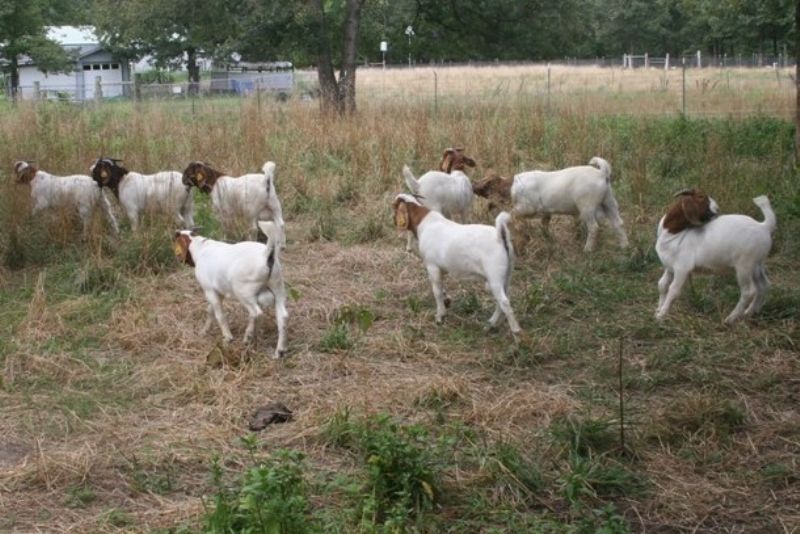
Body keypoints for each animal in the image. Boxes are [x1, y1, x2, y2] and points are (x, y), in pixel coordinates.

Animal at [174, 221, 288, 358]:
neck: (201, 247)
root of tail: (265, 255)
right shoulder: (218, 292)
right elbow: (210, 311)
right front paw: (204, 331)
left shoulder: (209, 290)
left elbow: (219, 315)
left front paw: (227, 338)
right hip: (278, 288)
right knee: (282, 316)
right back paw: (279, 351)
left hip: (243, 292)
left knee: (256, 313)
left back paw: (249, 336)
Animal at [392, 193, 521, 339]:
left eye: (394, 206)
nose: (393, 221)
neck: (425, 222)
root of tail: (501, 236)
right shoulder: (440, 268)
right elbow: (441, 288)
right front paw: (446, 300)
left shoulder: (432, 266)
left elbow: (436, 291)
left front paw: (440, 316)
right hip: (507, 275)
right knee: (503, 300)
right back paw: (491, 324)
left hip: (495, 276)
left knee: (504, 302)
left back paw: (516, 333)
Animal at [472, 157, 628, 252]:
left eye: (486, 183)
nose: (473, 184)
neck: (510, 188)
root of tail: (602, 173)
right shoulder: (547, 213)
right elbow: (544, 224)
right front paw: (548, 238)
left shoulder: (524, 208)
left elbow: (513, 213)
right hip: (609, 202)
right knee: (618, 223)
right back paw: (624, 246)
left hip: (587, 207)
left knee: (594, 227)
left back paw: (587, 249)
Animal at [654, 189, 776, 324]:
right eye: (701, 196)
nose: (717, 209)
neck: (674, 234)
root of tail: (764, 226)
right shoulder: (670, 267)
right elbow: (662, 285)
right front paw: (658, 309)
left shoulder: (682, 267)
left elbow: (673, 290)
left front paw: (661, 315)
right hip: (756, 264)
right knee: (763, 286)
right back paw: (750, 312)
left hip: (745, 264)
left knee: (748, 291)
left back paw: (731, 319)